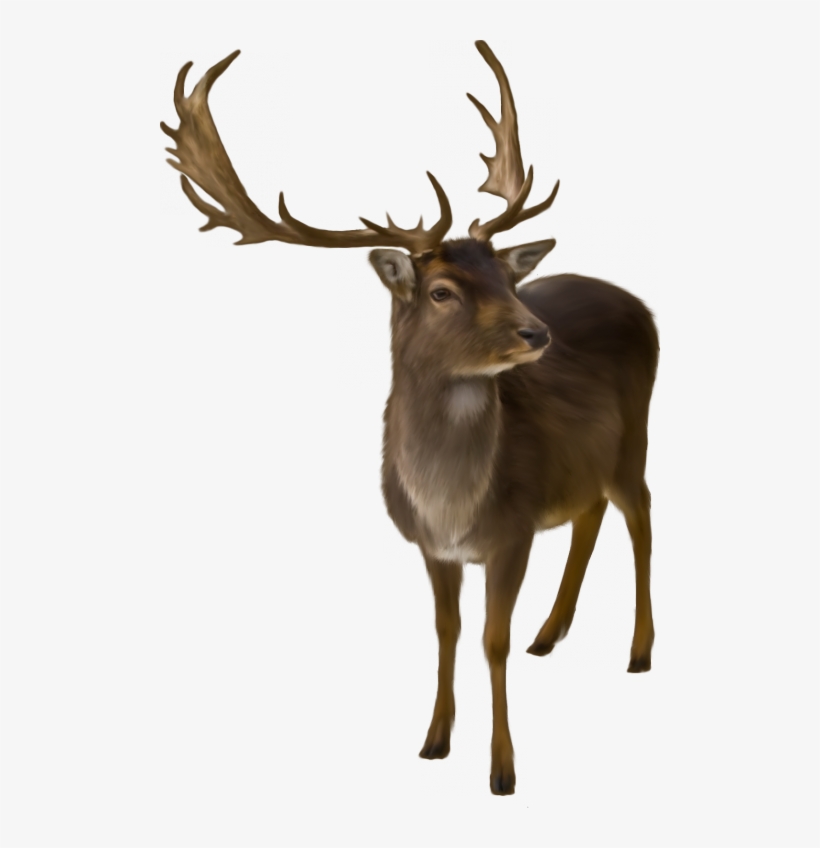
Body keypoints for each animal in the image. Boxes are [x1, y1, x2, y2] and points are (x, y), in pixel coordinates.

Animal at [161, 41, 659, 796]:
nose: (537, 332)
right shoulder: (431, 546)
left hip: (638, 432)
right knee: (591, 511)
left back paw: (638, 650)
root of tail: (639, 303)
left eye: (508, 278)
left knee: (640, 514)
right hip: (590, 460)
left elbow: (491, 640)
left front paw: (503, 770)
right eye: (442, 290)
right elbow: (446, 633)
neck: (452, 503)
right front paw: (433, 740)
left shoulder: (513, 530)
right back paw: (550, 634)